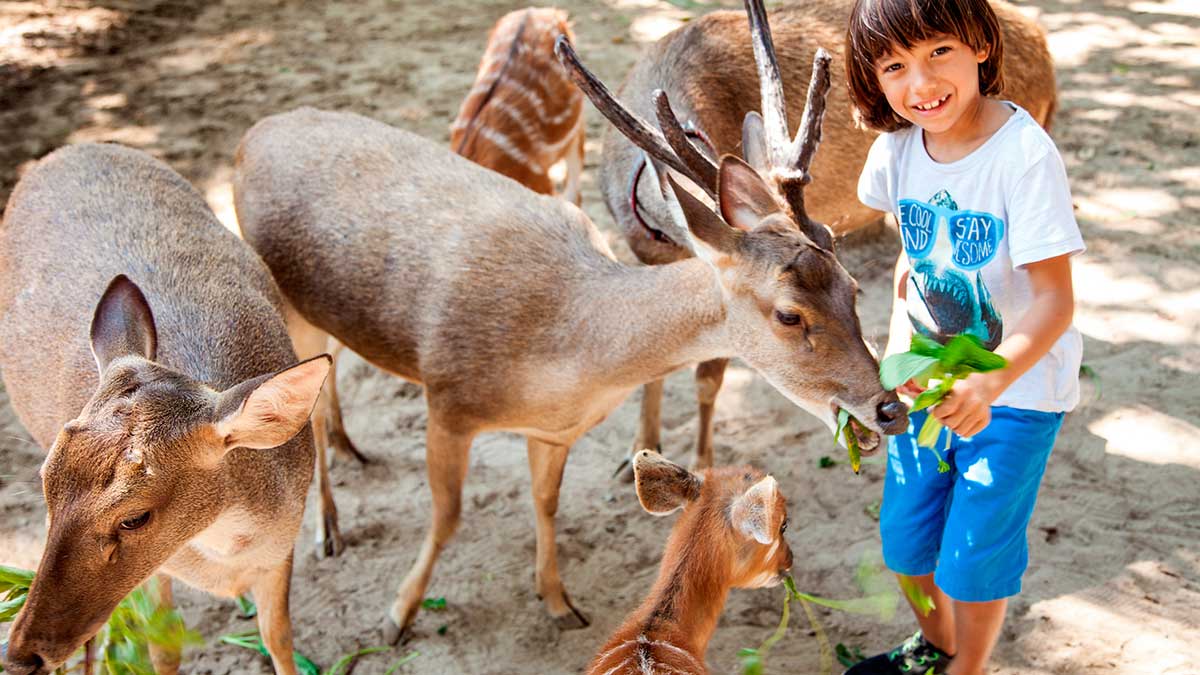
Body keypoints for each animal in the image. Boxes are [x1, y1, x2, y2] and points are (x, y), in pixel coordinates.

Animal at [0, 142, 328, 672]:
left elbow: (279, 638)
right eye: (45, 482)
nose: (20, 654)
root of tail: (66, 149)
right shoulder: (160, 574)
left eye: (135, 517)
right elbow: (162, 650)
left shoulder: (280, 551)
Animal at [600, 0, 1060, 478]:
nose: (890, 411)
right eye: (788, 315)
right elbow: (651, 361)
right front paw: (637, 455)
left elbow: (707, 378)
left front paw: (701, 466)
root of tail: (1044, 47)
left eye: (852, 287)